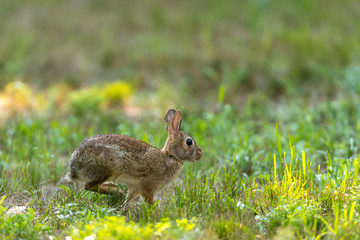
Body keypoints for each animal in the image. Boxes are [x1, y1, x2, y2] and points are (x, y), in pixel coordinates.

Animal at [60, 109, 204, 204]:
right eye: (189, 142)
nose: (200, 154)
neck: (170, 156)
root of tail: (74, 166)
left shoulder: (134, 187)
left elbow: (129, 200)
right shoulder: (147, 185)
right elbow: (149, 200)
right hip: (108, 168)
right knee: (88, 186)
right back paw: (116, 191)